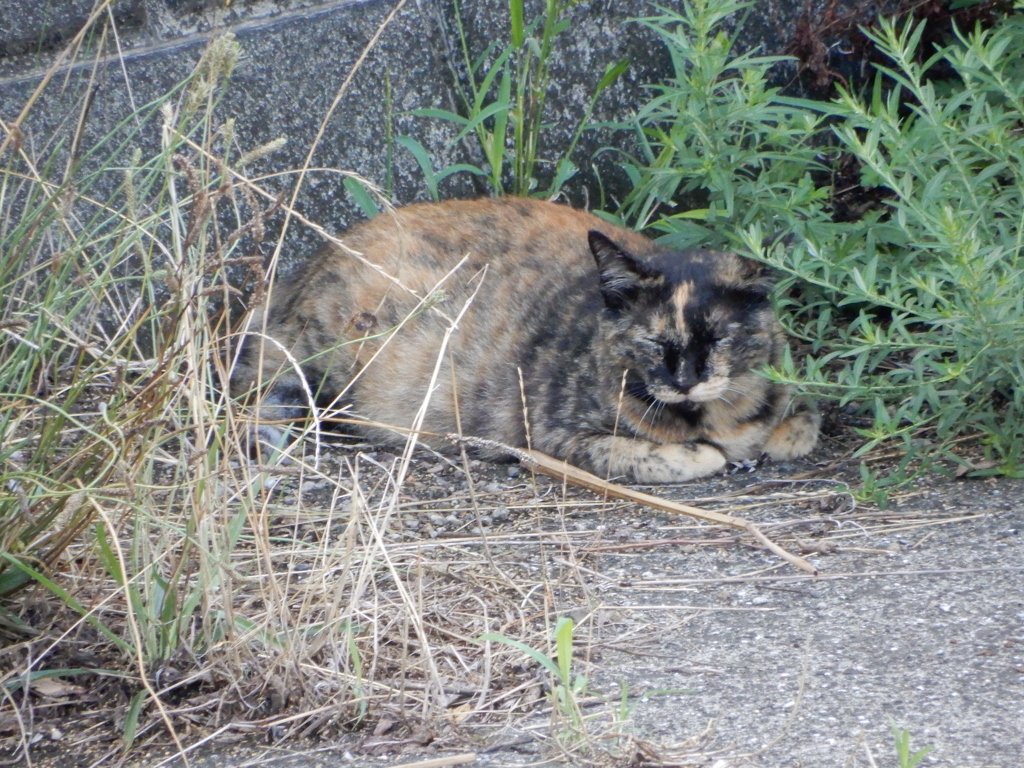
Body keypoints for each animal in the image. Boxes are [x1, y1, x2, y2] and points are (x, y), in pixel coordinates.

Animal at [232, 196, 815, 481]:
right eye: (651, 342)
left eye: (718, 338)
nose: (686, 381)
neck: (710, 417)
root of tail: (302, 269)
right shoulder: (556, 439)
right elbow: (685, 456)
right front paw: (713, 453)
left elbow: (802, 422)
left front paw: (775, 436)